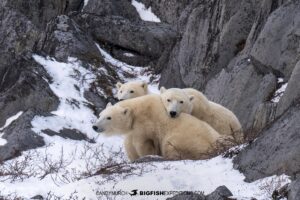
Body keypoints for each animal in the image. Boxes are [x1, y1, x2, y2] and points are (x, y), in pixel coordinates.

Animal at [92, 94, 231, 162]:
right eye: (100, 115)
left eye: (109, 117)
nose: (95, 126)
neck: (135, 112)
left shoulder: (145, 127)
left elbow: (141, 145)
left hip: (188, 142)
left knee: (170, 145)